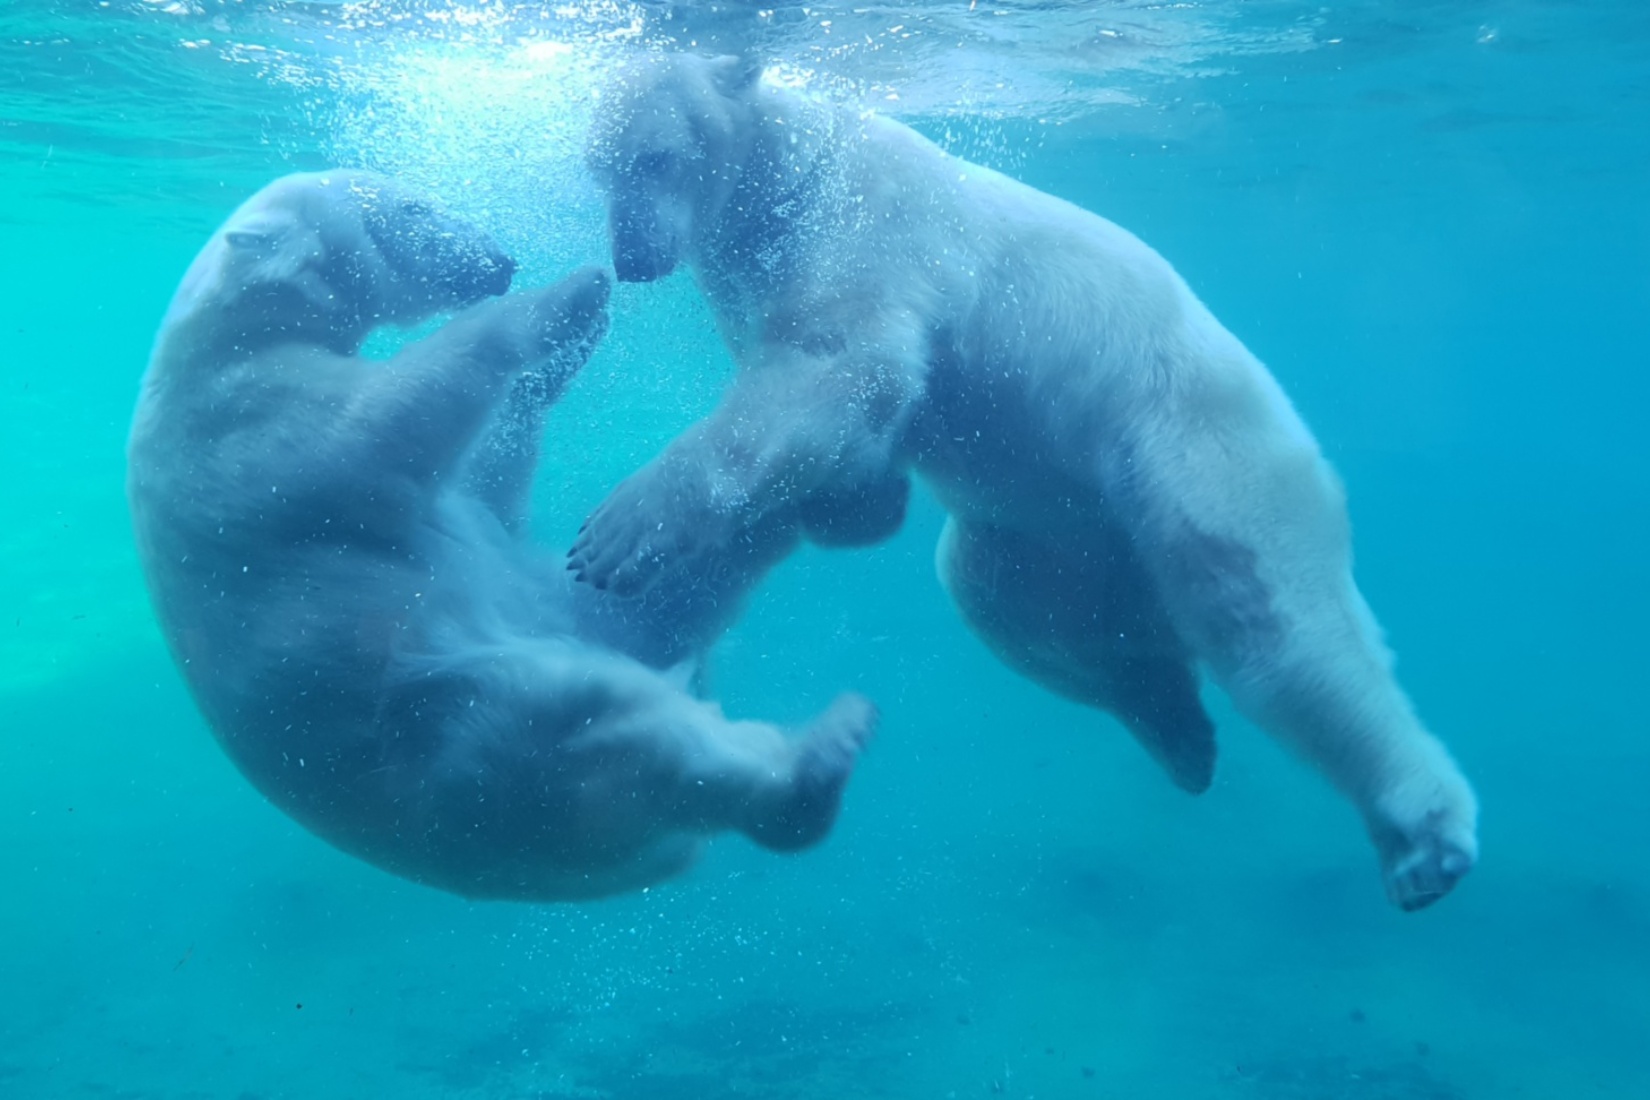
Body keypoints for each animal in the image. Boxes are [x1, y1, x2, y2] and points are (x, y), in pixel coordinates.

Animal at [128, 169, 877, 903]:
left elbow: (487, 489)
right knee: (614, 728)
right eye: (411, 206)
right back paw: (818, 759)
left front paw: (572, 343)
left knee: (665, 601)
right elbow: (388, 416)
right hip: (466, 741)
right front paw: (571, 293)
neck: (221, 338)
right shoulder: (250, 425)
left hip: (566, 618)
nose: (498, 260)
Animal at [570, 53, 1485, 910]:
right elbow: (850, 429)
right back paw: (1176, 728)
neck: (788, 176)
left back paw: (1423, 837)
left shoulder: (860, 230)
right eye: (600, 170)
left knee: (1279, 626)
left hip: (1192, 447)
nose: (632, 258)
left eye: (656, 157)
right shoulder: (747, 281)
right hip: (1053, 536)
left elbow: (842, 366)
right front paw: (859, 503)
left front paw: (618, 534)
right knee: (1010, 604)